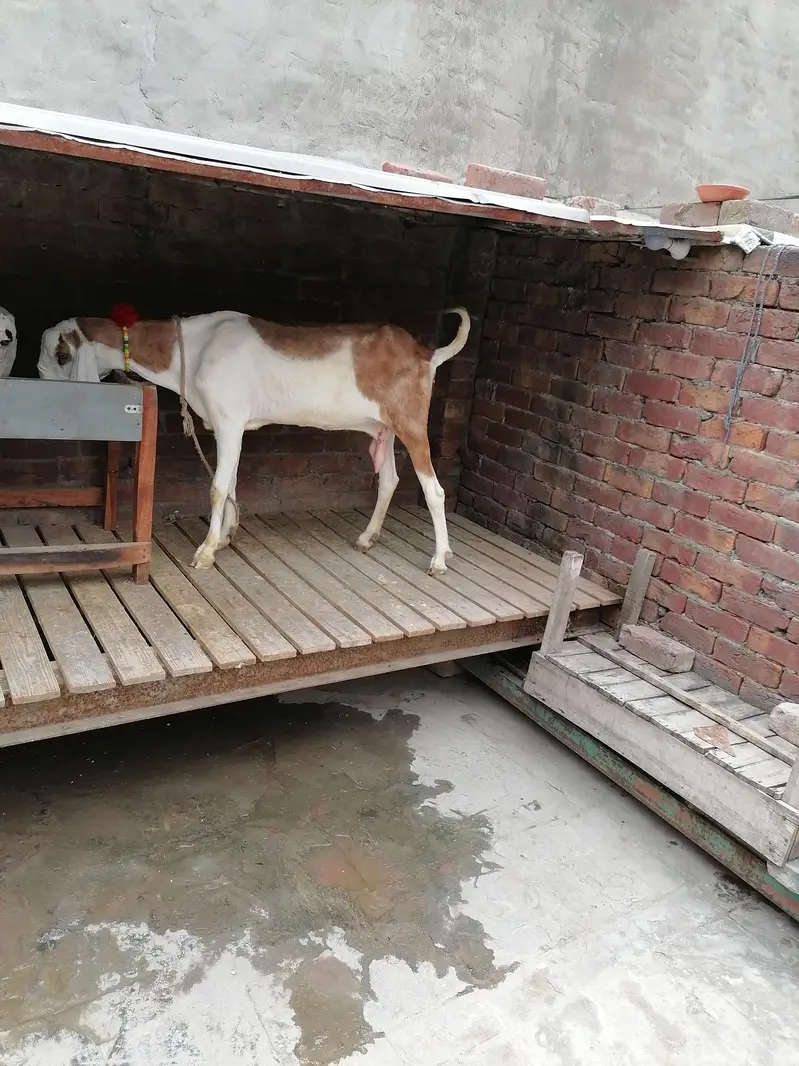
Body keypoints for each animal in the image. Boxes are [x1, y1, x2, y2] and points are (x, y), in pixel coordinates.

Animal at [38, 309, 470, 573]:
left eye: (62, 355)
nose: (40, 384)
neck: (192, 350)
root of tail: (425, 354)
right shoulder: (228, 425)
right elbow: (228, 482)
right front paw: (226, 537)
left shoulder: (229, 419)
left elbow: (215, 487)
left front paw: (205, 552)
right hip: (385, 427)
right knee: (390, 480)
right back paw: (367, 539)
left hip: (411, 422)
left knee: (434, 491)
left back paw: (440, 559)